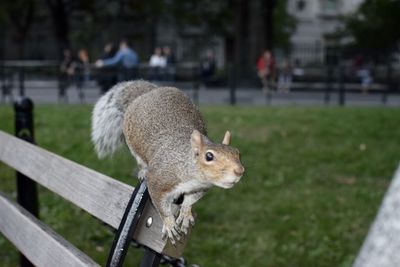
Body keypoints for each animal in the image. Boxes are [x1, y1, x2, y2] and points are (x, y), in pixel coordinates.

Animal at [91, 80, 244, 245]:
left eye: (237, 153)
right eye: (209, 156)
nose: (239, 171)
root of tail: (150, 92)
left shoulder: (200, 188)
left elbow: (190, 201)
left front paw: (185, 213)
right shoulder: (159, 181)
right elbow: (161, 206)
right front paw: (169, 224)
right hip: (133, 143)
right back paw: (143, 170)